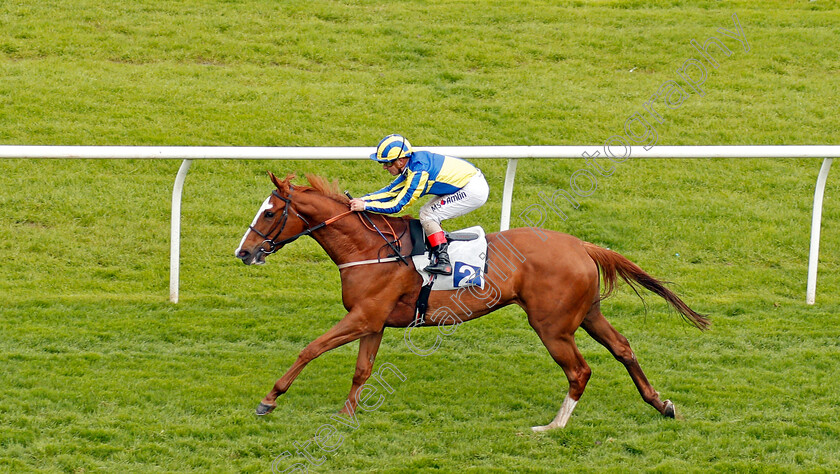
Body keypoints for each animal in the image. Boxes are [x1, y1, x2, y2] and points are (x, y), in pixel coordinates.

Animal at [235, 172, 708, 432]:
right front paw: (347, 415)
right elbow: (361, 370)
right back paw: (661, 404)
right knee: (623, 348)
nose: (244, 252)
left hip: (552, 326)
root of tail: (582, 245)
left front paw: (269, 400)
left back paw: (552, 427)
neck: (370, 248)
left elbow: (309, 349)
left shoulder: (362, 316)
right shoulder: (373, 321)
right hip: (587, 313)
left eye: (270, 212)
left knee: (580, 370)